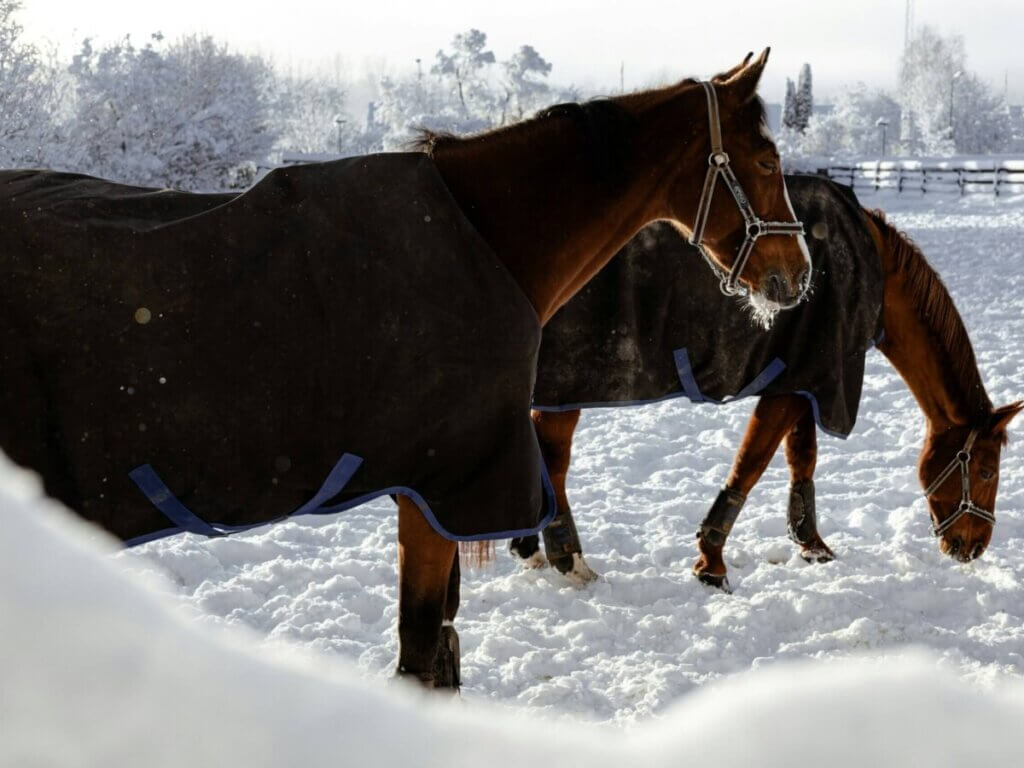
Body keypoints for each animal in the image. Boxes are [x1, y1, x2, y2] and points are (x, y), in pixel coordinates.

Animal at [0, 50, 810, 689]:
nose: (799, 274)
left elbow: (437, 644)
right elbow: (422, 653)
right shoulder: (441, 484)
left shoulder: (436, 491)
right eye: (767, 161)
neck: (488, 236)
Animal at [516, 174, 1022, 591]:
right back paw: (568, 558)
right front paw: (712, 562)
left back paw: (531, 547)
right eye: (986, 470)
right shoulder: (795, 382)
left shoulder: (804, 380)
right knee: (553, 459)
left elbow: (802, 458)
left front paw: (811, 543)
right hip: (566, 389)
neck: (869, 265)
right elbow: (753, 462)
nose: (974, 546)